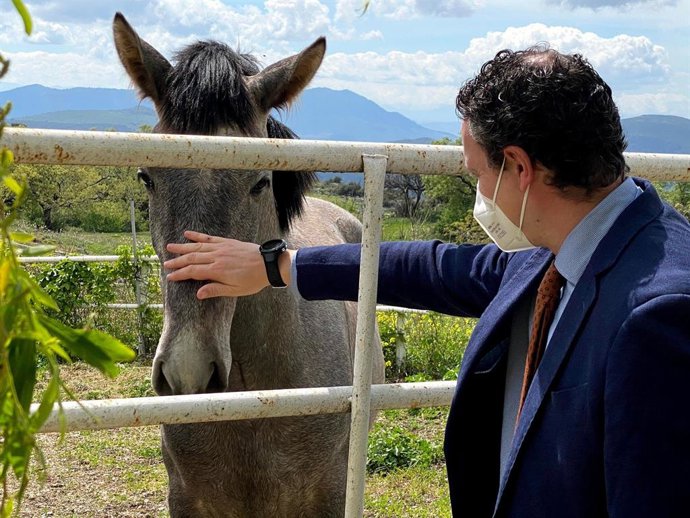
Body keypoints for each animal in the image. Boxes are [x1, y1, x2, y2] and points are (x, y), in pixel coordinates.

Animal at [112, 12, 384, 518]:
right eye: (146, 176)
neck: (253, 400)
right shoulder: (188, 498)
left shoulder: (328, 494)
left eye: (260, 181)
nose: (188, 373)